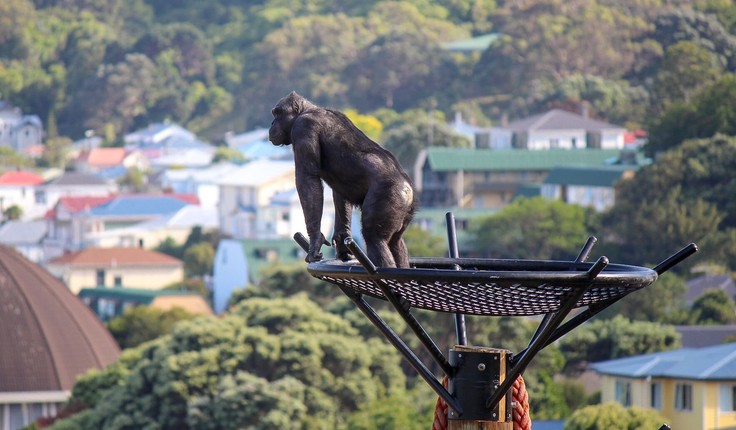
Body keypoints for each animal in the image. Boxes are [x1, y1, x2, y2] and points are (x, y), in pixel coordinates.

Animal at [268, 92, 416, 268]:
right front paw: (341, 239)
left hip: (388, 198)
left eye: (278, 113)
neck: (309, 110)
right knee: (396, 242)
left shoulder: (303, 128)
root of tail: (408, 190)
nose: (272, 122)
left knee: (375, 238)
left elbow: (308, 179)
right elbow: (340, 195)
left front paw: (315, 241)